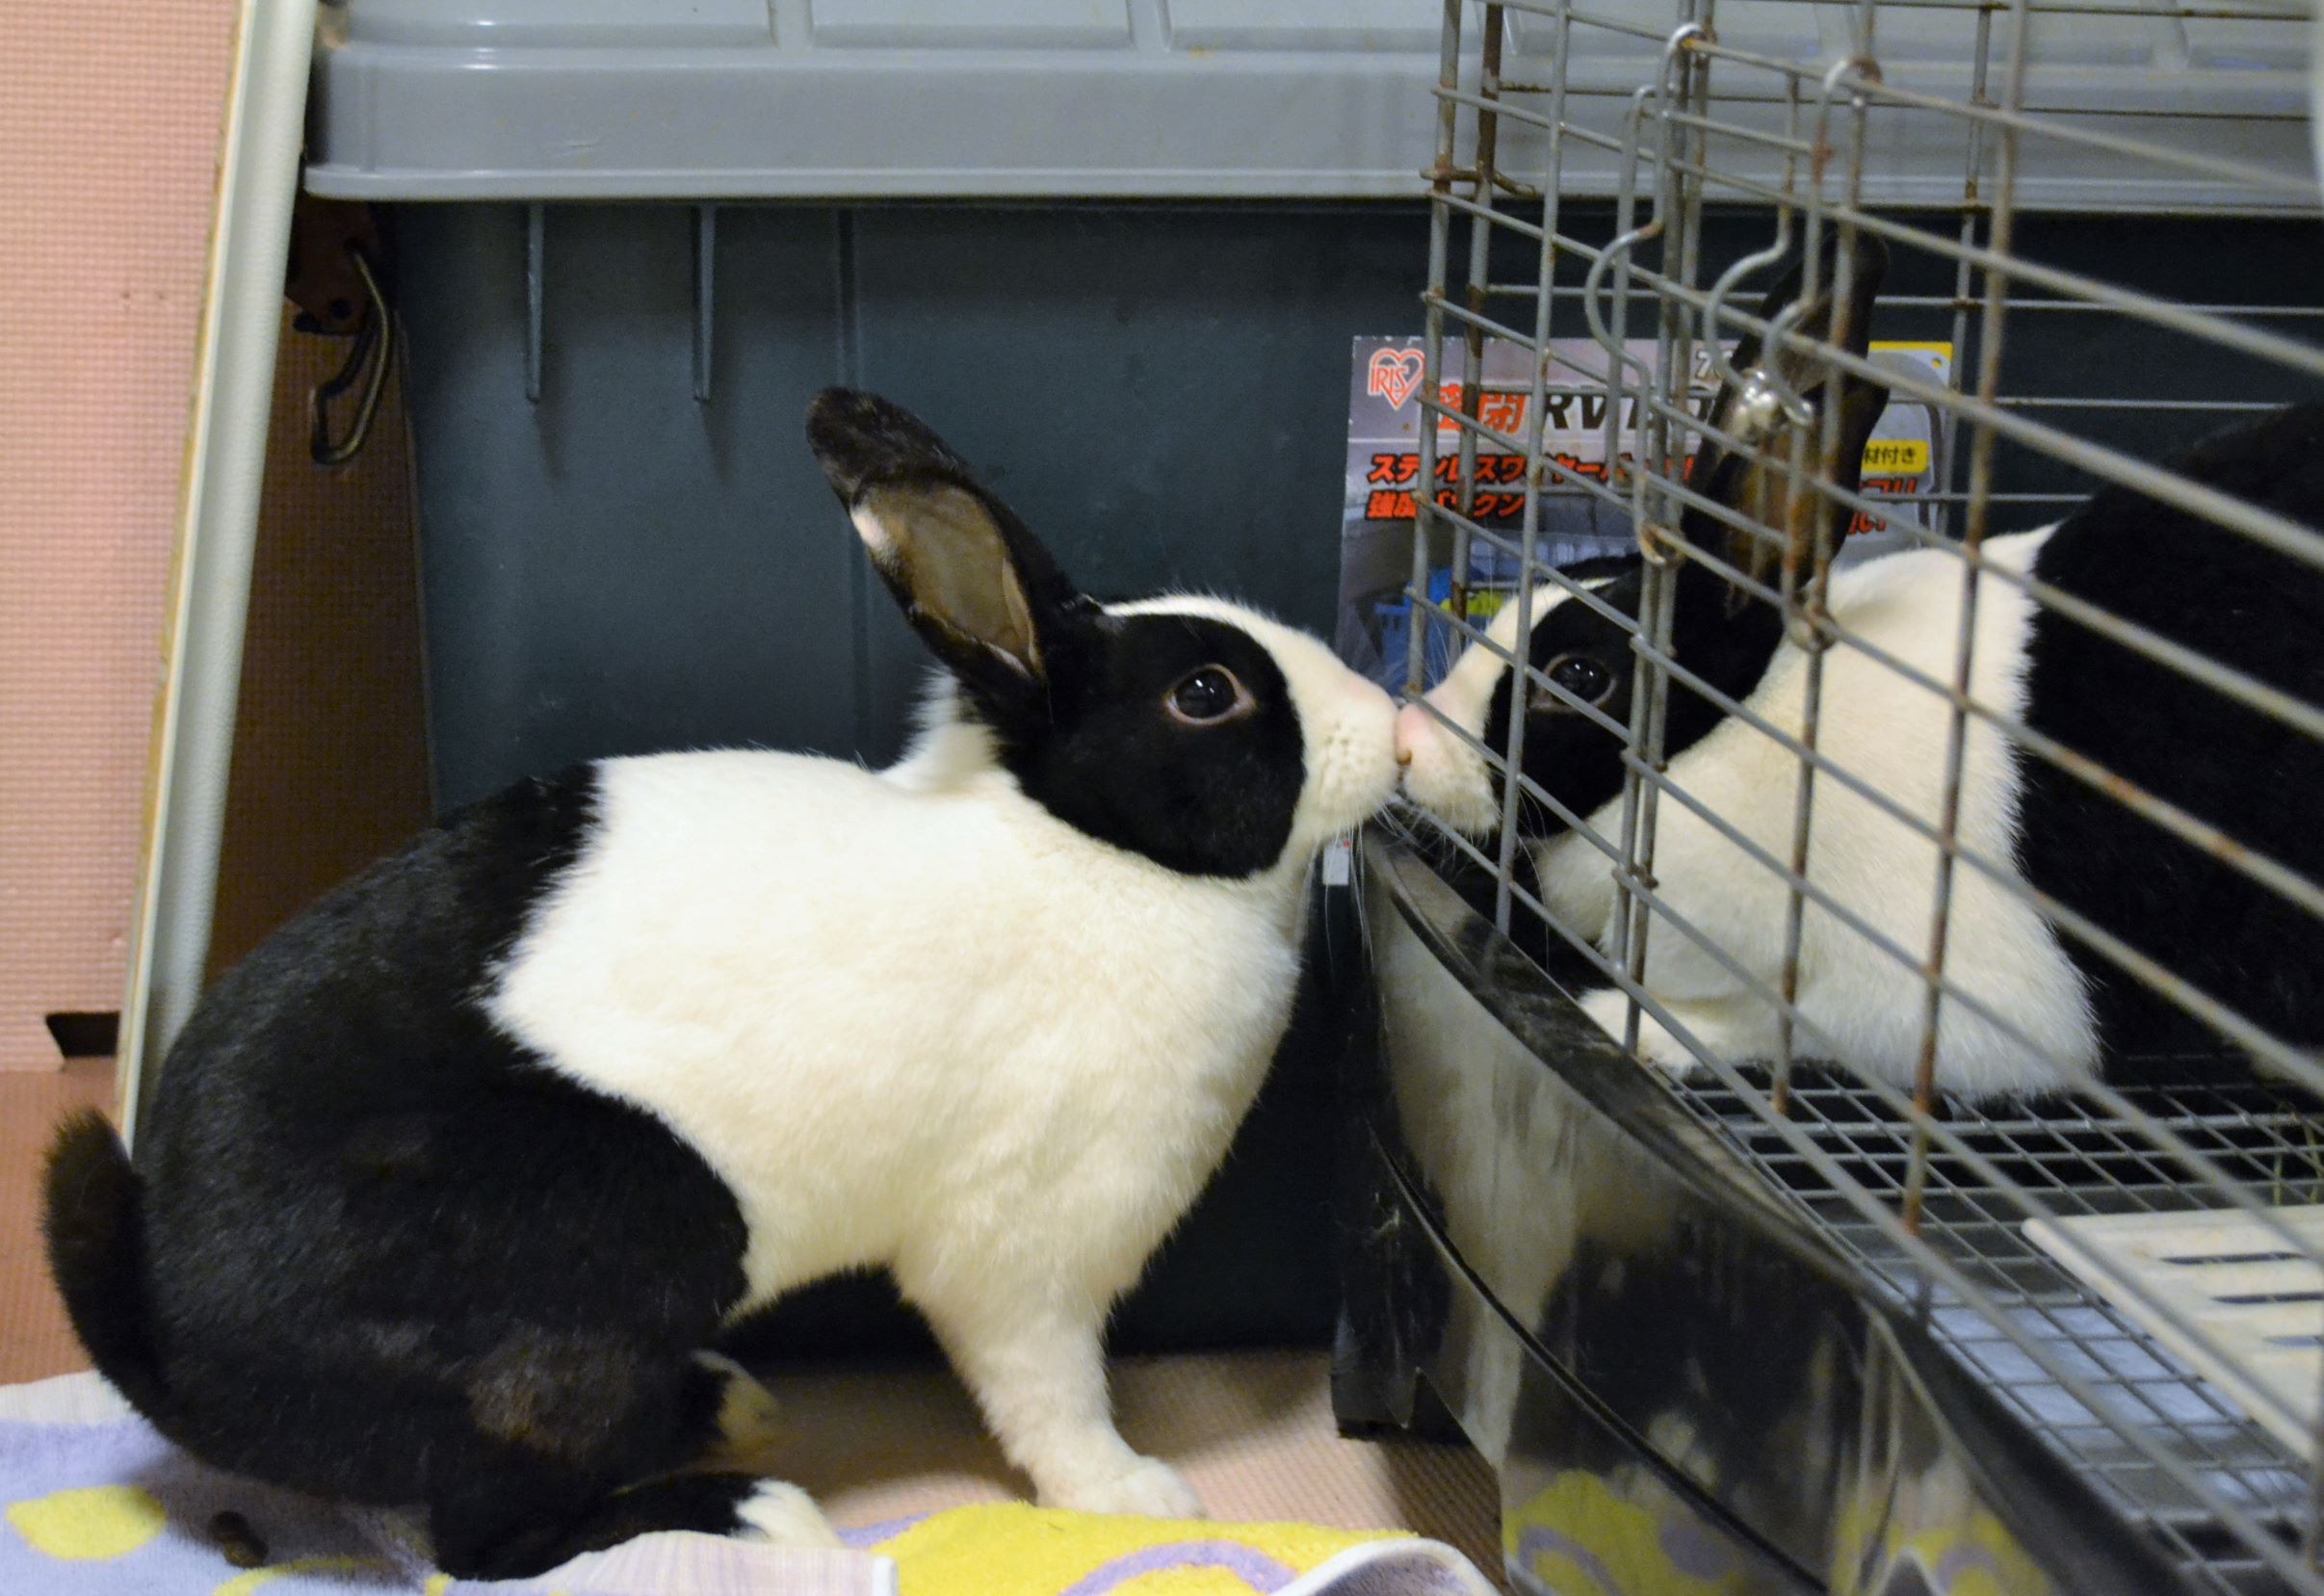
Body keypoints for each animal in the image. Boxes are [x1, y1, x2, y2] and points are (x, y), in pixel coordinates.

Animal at [43, 389, 1401, 1580]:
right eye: (1206, 693)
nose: (1391, 727)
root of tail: (175, 1352)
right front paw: (1133, 1498)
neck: (1096, 852)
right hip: (606, 1266)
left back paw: (727, 1406)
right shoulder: (1026, 1255)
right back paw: (754, 1509)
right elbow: (1050, 1391)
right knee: (486, 1544)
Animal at [1396, 232, 2324, 1101]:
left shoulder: (1959, 1007)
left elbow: (1784, 1026)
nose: (1407, 738)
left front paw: (1631, 1025)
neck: (1742, 729)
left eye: (1579, 678)